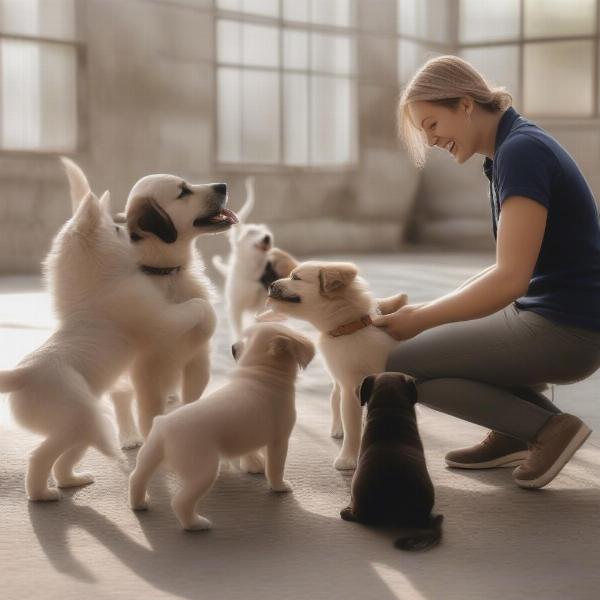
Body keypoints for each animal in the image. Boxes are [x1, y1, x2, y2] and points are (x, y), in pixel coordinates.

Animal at [126, 324, 314, 528]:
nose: (233, 348)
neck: (261, 373)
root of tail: (164, 428)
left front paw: (255, 464)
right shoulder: (279, 441)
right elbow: (275, 468)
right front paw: (279, 486)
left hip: (149, 456)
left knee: (136, 478)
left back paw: (139, 503)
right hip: (203, 471)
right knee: (180, 502)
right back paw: (196, 524)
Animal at [211, 177, 298, 342]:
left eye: (267, 232)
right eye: (251, 232)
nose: (267, 237)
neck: (251, 273)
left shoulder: (260, 306)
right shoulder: (235, 309)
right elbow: (238, 330)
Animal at [264, 260, 408, 472]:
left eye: (296, 277)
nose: (271, 284)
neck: (348, 329)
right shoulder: (350, 388)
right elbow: (352, 427)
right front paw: (348, 459)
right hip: (339, 383)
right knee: (335, 402)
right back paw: (338, 429)